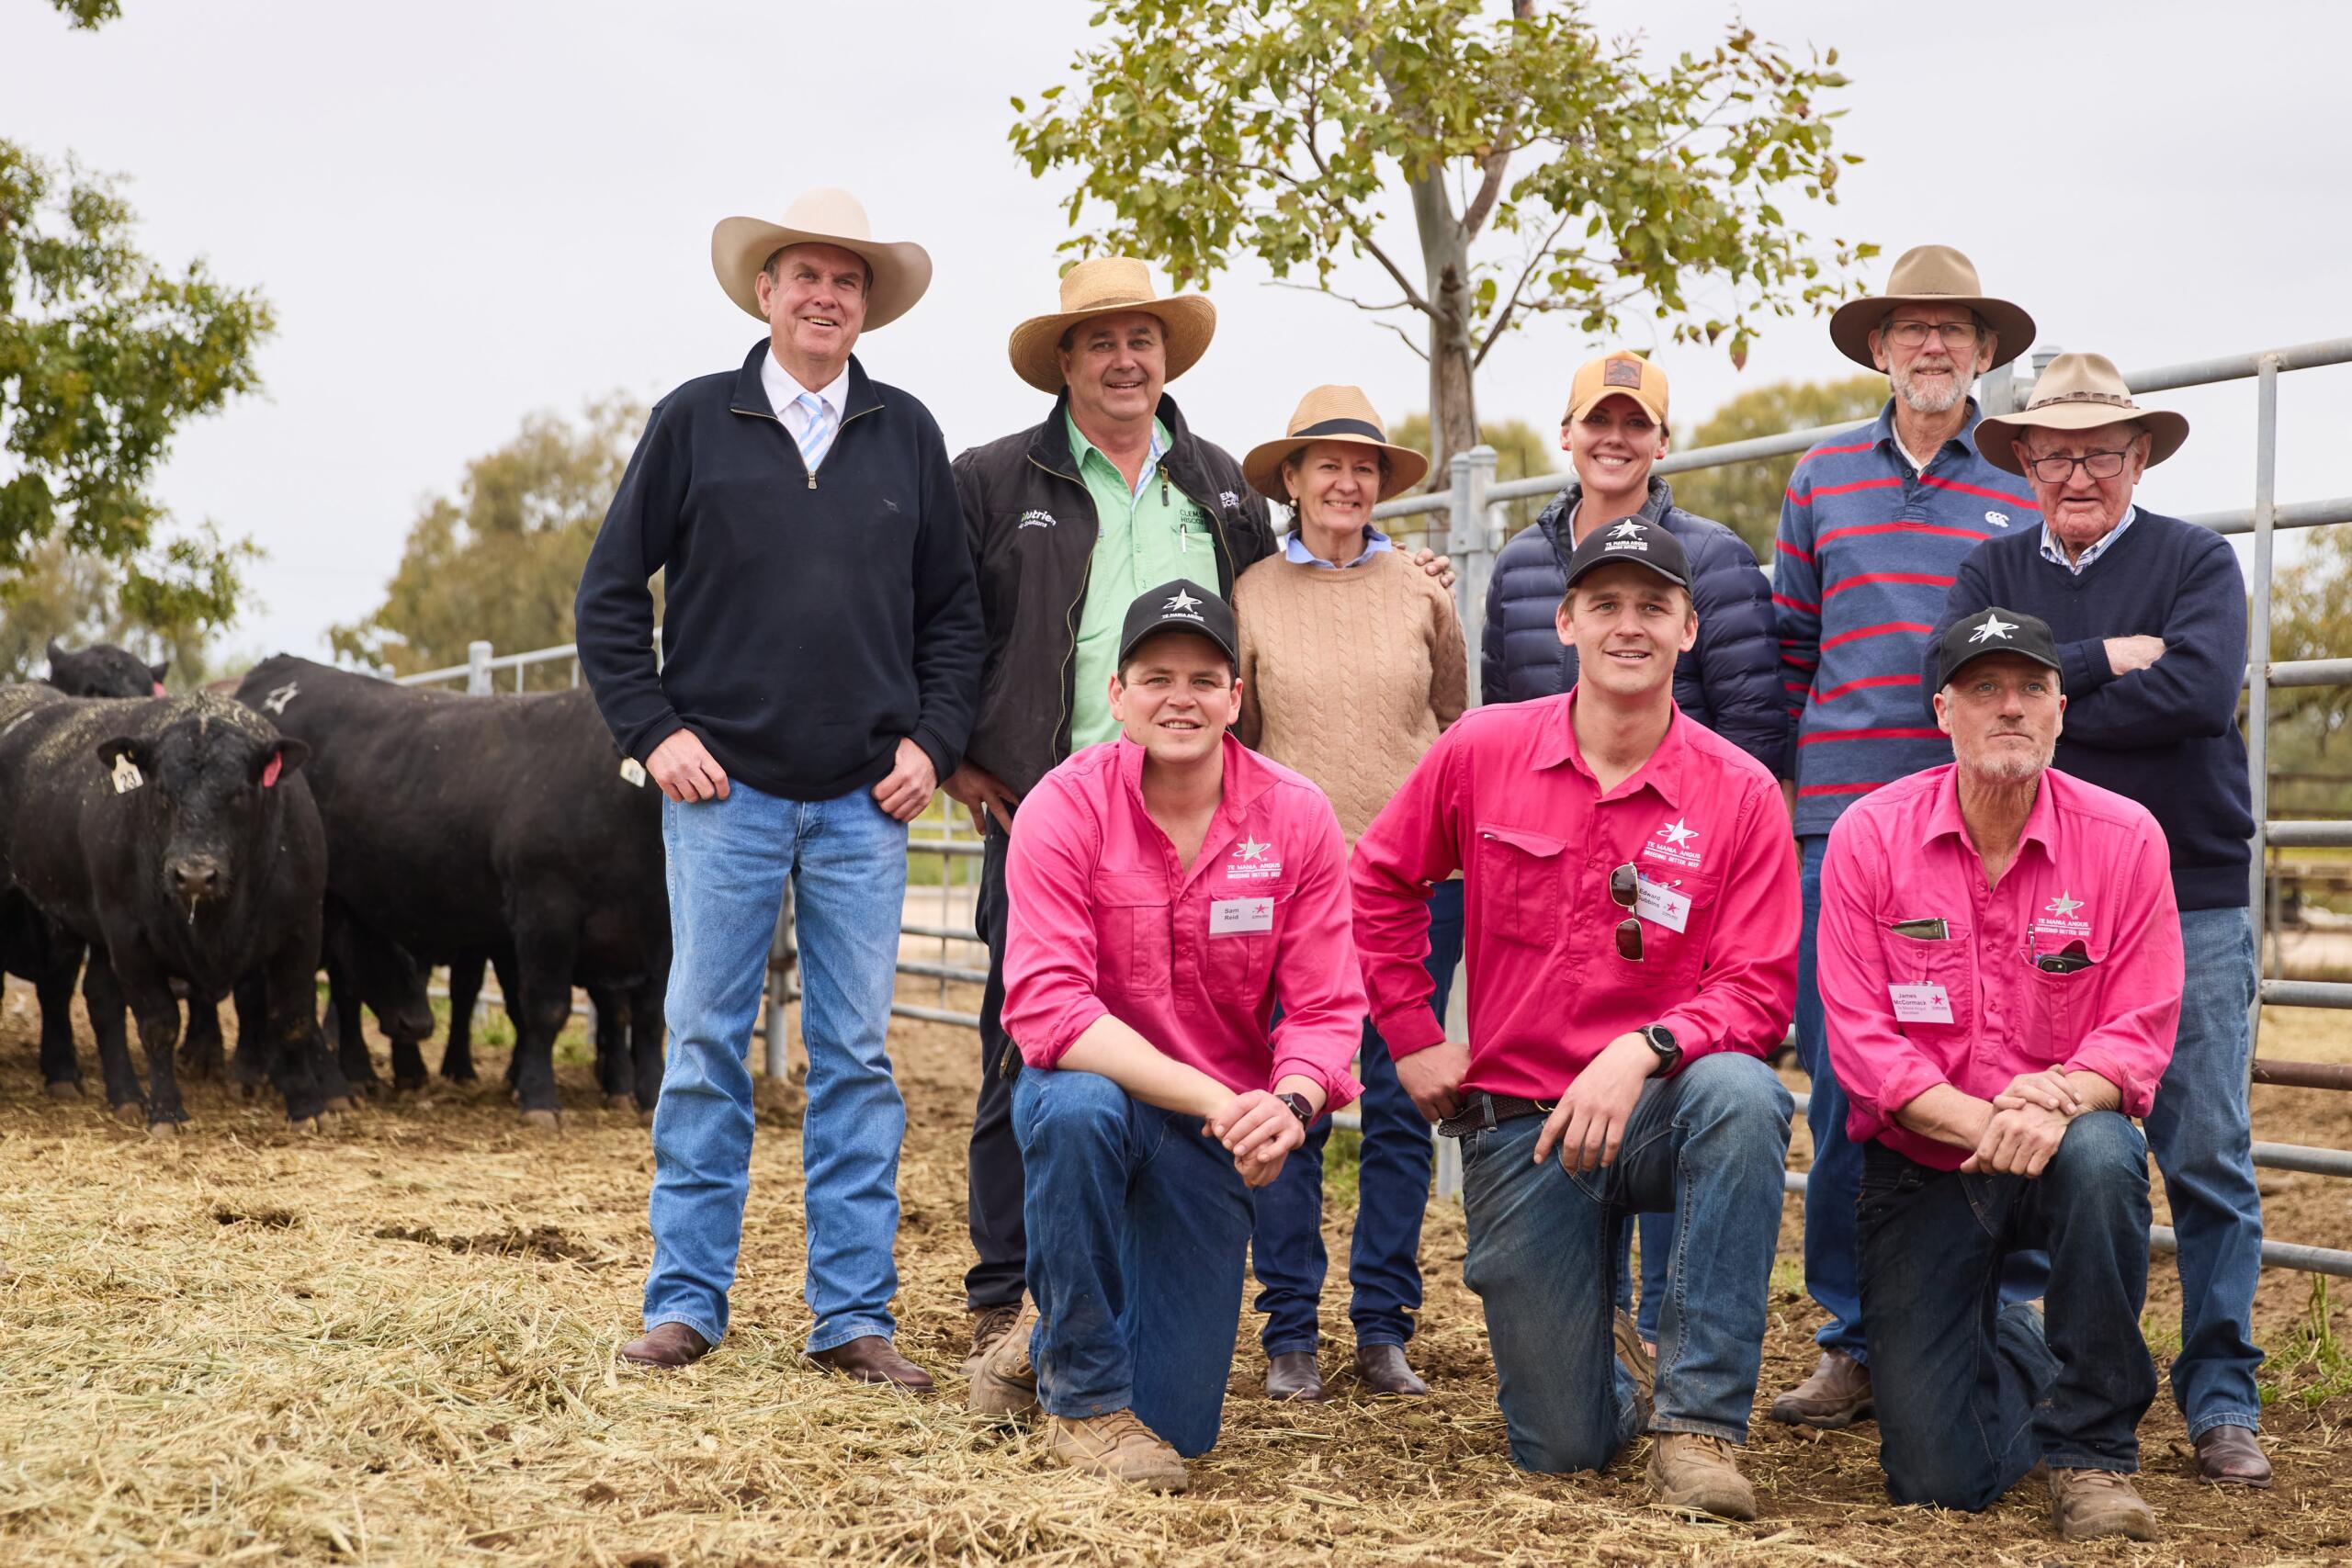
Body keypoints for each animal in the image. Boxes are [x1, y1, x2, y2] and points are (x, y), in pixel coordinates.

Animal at [0, 691, 343, 1128]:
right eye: (162, 792)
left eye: (239, 793)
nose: (194, 875)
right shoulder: (129, 936)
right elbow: (158, 1024)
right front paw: (166, 1110)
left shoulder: (302, 929)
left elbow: (293, 1019)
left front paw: (307, 1107)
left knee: (93, 995)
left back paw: (122, 1094)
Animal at [230, 658, 668, 1123]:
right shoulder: (545, 911)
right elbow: (546, 1009)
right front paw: (539, 1099)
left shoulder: (661, 930)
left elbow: (650, 1016)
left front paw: (649, 1095)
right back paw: (316, 1082)